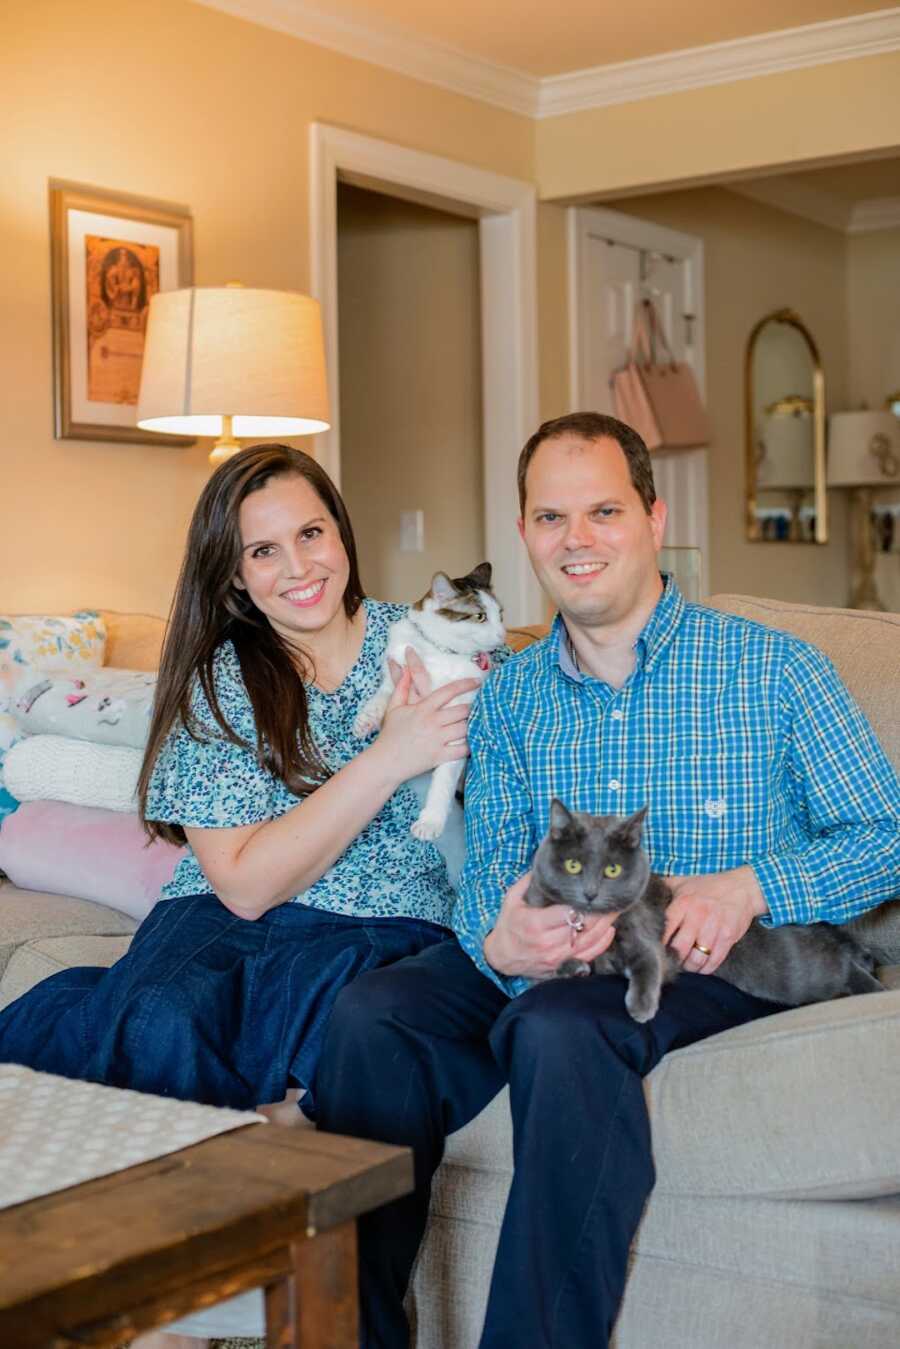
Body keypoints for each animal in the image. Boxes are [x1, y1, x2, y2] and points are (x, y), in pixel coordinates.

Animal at [353, 561, 507, 836]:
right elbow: (381, 696)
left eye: (500, 614)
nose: (503, 635)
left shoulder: (457, 722)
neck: (440, 652)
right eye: (480, 616)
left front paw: (431, 820)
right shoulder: (396, 672)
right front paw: (366, 719)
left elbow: (443, 780)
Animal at [523, 798, 885, 1019]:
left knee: (842, 969)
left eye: (612, 870)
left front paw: (641, 1007)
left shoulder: (646, 937)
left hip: (793, 973)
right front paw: (573, 967)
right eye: (573, 866)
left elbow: (648, 963)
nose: (590, 893)